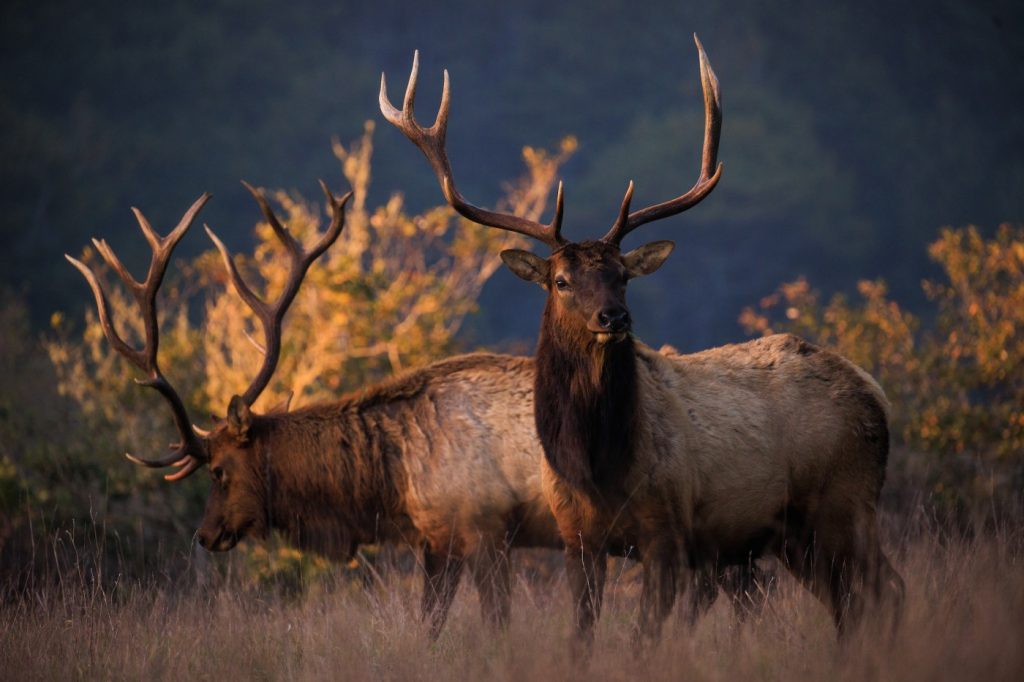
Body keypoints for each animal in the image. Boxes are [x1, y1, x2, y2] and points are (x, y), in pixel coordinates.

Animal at [382, 35, 905, 643]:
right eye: (561, 281)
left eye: (622, 275)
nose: (613, 317)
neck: (597, 467)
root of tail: (875, 393)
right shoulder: (577, 539)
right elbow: (581, 636)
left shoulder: (668, 532)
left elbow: (644, 640)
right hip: (799, 532)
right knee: (856, 599)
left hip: (845, 503)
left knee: (884, 589)